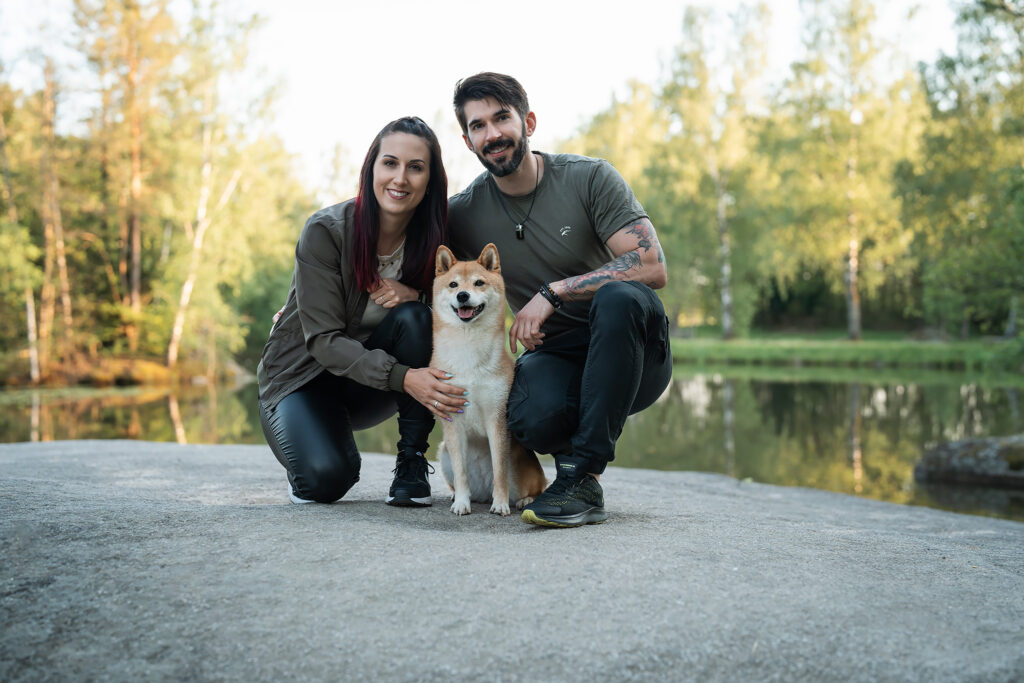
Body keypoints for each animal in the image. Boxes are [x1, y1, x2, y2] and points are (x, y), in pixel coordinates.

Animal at [430, 242, 548, 516]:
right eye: (453, 284)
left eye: (479, 282)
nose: (463, 295)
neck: (468, 352)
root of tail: (482, 493)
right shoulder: (452, 421)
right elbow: (461, 473)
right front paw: (461, 503)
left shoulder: (497, 419)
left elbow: (499, 471)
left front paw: (501, 504)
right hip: (443, 452)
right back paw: (461, 497)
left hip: (521, 464)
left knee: (540, 486)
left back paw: (524, 501)